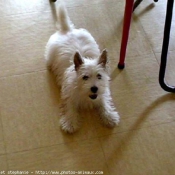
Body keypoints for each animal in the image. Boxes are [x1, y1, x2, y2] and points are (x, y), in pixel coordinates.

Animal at [44, 3, 119, 133]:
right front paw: (70, 123)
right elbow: (70, 108)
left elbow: (105, 104)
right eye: (85, 77)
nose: (94, 88)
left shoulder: (102, 94)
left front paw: (109, 116)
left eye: (99, 76)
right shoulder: (69, 95)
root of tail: (67, 30)